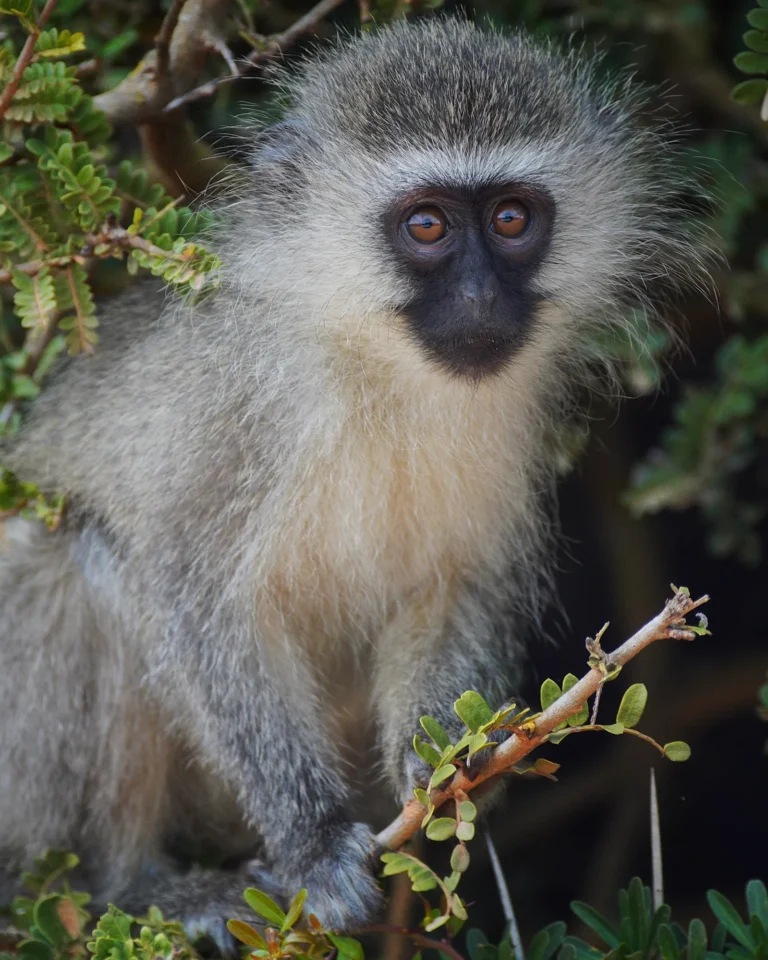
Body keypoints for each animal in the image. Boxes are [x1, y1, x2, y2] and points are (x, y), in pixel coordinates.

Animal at [0, 16, 708, 941]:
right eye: (428, 226)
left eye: (511, 218)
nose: (480, 301)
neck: (374, 367)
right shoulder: (243, 410)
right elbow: (194, 597)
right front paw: (313, 843)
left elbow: (453, 585)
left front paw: (444, 758)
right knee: (80, 555)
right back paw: (133, 889)